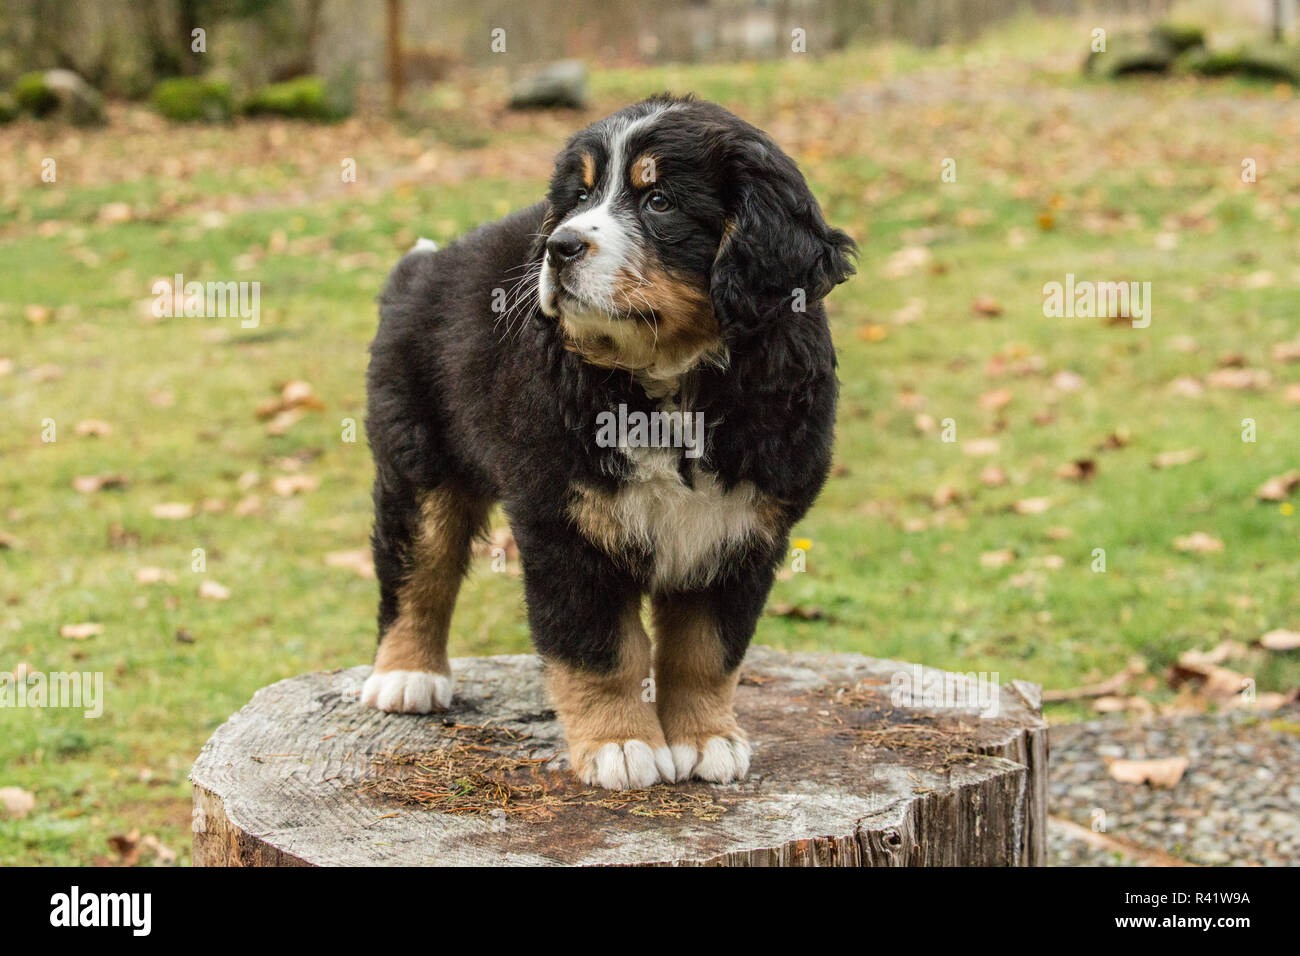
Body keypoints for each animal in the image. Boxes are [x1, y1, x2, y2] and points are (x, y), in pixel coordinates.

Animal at [361, 91, 857, 790]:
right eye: (579, 197)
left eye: (659, 202)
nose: (561, 246)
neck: (670, 382)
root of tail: (423, 267)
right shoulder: (566, 525)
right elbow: (601, 649)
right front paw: (620, 744)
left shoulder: (743, 530)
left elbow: (708, 651)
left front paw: (707, 739)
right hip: (419, 460)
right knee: (416, 564)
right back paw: (407, 674)